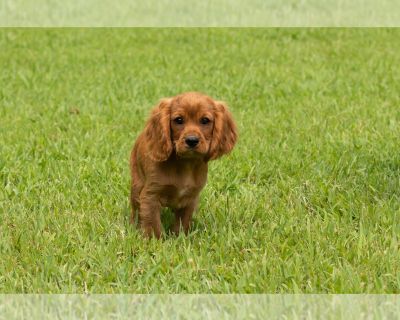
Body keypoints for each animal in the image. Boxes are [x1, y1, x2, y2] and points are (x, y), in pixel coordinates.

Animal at [130, 92, 238, 238]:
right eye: (179, 120)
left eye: (205, 120)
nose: (192, 140)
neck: (185, 163)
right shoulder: (150, 195)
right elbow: (153, 223)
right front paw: (155, 240)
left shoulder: (191, 198)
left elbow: (183, 222)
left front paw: (179, 237)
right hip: (137, 185)